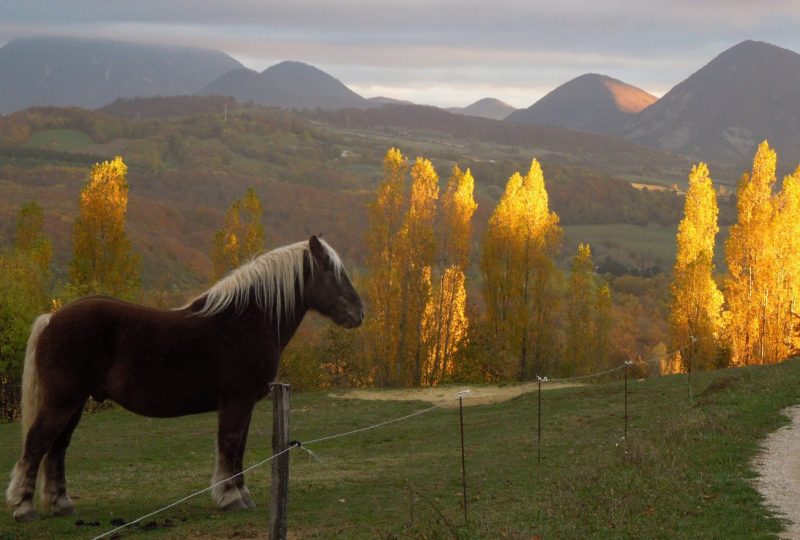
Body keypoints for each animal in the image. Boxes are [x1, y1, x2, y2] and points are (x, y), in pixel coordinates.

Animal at [3, 234, 362, 520]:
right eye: (333, 273)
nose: (358, 313)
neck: (245, 320)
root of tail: (52, 317)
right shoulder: (236, 401)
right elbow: (230, 444)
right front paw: (230, 498)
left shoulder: (244, 404)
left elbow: (239, 448)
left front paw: (241, 495)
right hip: (63, 400)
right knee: (38, 444)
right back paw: (24, 507)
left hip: (73, 404)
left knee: (57, 448)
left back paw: (61, 505)